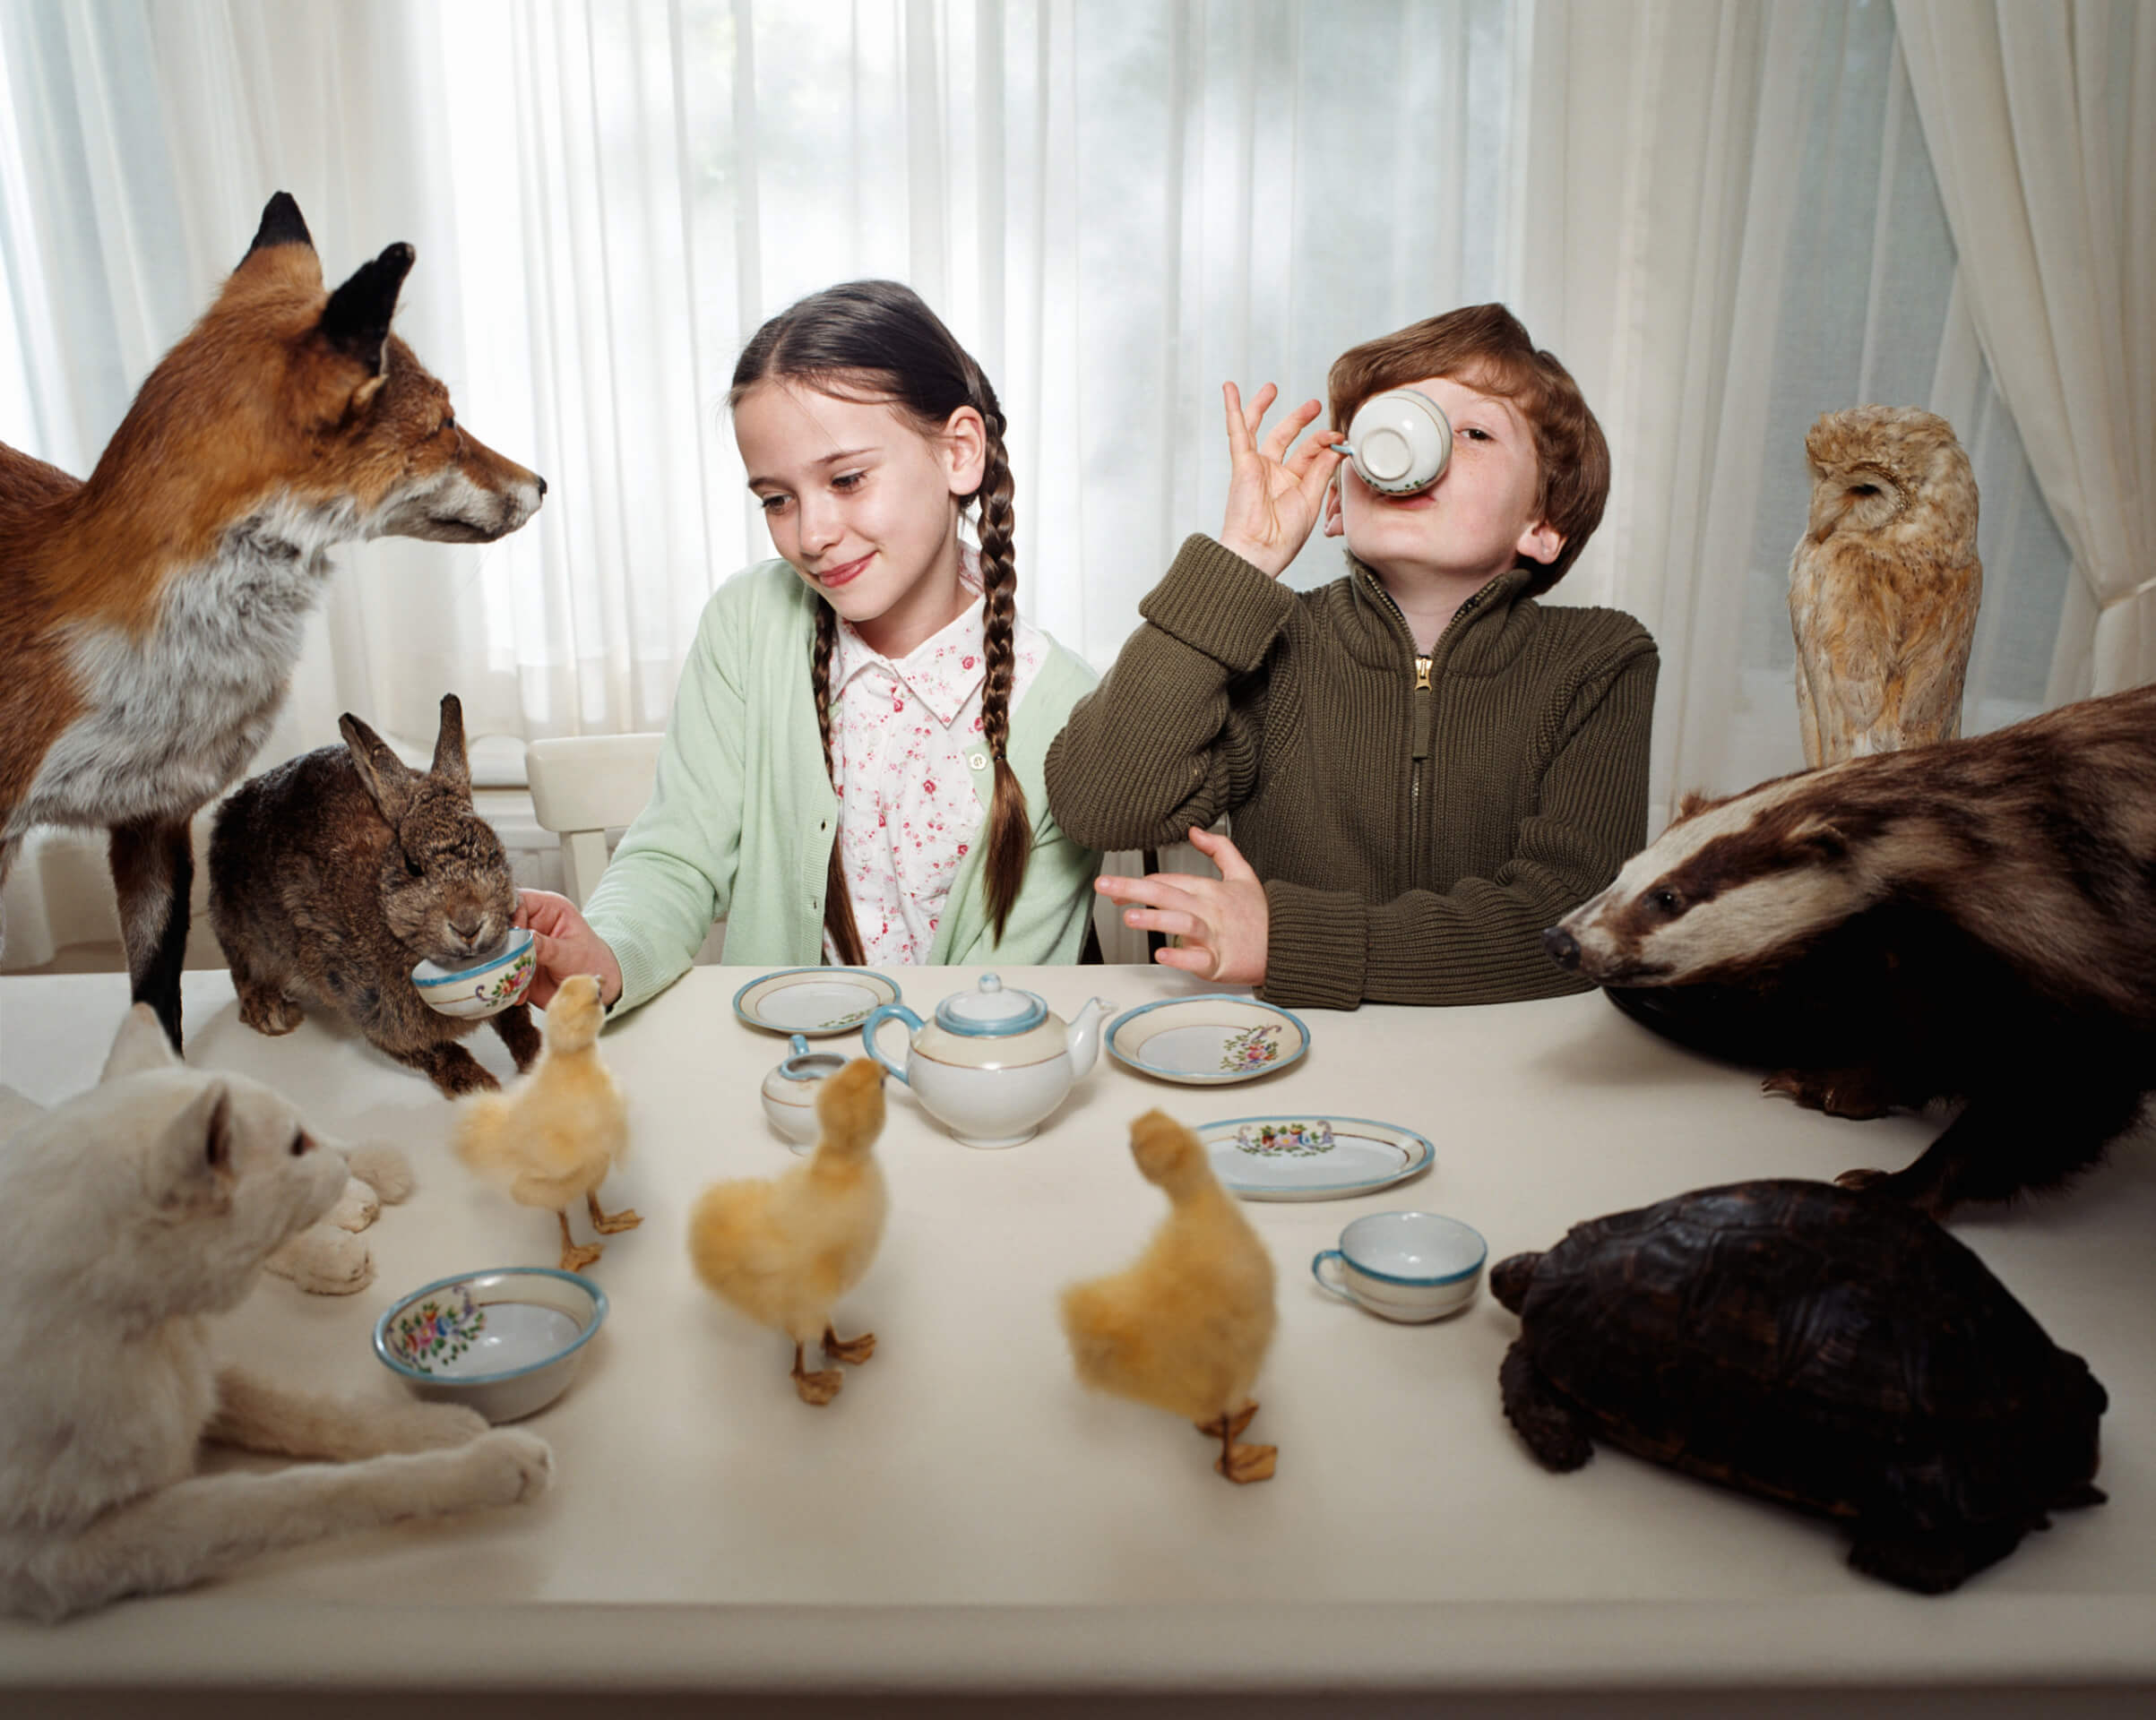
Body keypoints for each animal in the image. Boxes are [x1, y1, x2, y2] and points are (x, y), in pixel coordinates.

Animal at [4, 1004, 556, 1621]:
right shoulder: (59, 1558)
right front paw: (485, 1467)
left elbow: (308, 1413)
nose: (328, 1154)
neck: (150, 1328)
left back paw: (365, 1179)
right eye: (292, 1145)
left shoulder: (212, 1374)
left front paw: (436, 1427)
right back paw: (343, 1226)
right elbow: (295, 1497)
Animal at [206, 693, 539, 1099]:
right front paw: (477, 1085)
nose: (468, 924)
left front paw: (535, 1054)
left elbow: (515, 1018)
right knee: (242, 972)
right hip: (236, 928)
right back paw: (269, 1012)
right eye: (413, 865)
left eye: (493, 852)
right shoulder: (372, 1011)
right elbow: (435, 1052)